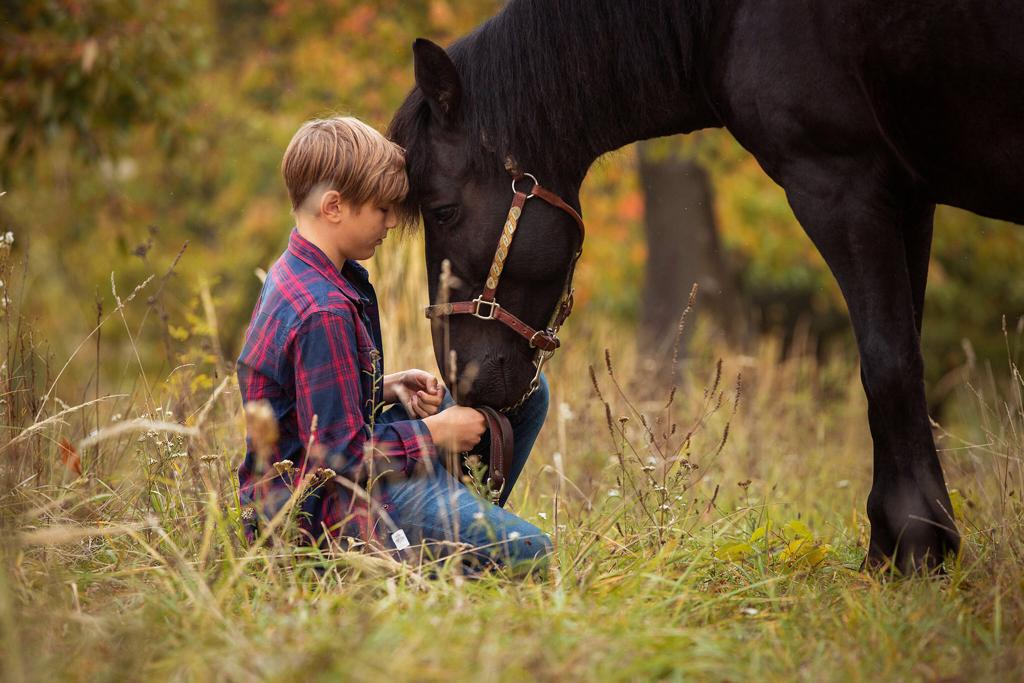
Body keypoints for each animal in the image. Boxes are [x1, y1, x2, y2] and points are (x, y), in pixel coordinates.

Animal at [385, 0, 1024, 573]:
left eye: (441, 210)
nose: (459, 375)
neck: (725, 18)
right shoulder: (910, 198)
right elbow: (904, 361)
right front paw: (910, 547)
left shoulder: (841, 183)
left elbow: (887, 366)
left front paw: (911, 549)